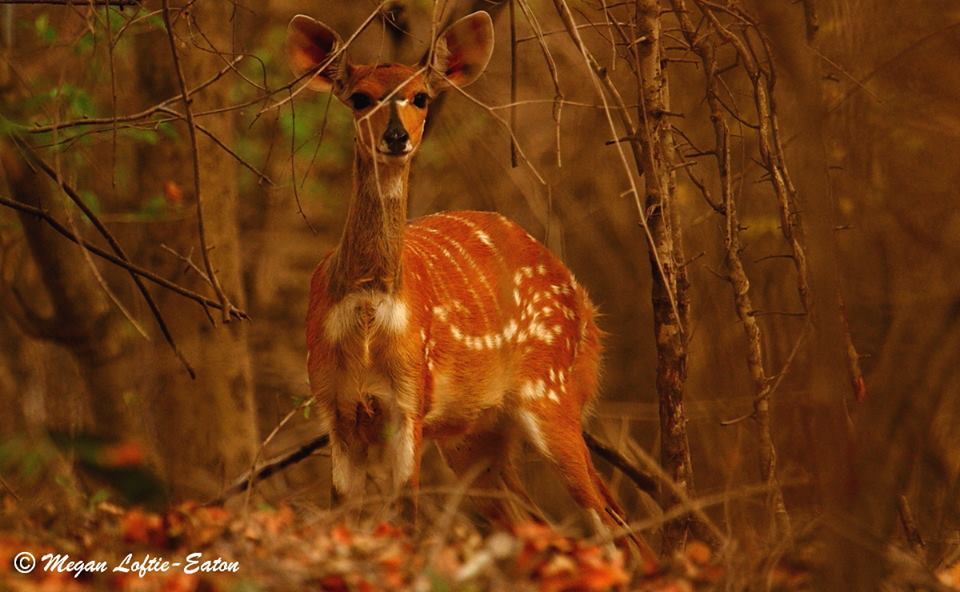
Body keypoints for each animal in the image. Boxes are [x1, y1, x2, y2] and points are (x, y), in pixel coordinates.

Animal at [292, 11, 652, 560]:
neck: (369, 307)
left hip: (550, 392)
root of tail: (587, 309)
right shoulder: (336, 406)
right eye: (359, 97)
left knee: (608, 521)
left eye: (420, 97)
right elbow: (342, 515)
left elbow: (407, 514)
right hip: (473, 436)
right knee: (541, 520)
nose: (396, 137)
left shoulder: (408, 401)